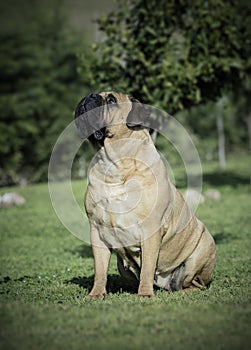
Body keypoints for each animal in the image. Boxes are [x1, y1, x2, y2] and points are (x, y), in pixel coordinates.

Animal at [74, 92, 216, 298]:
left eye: (111, 100)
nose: (89, 96)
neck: (113, 165)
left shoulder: (151, 229)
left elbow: (148, 267)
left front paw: (145, 295)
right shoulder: (97, 230)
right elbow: (100, 270)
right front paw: (96, 294)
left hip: (202, 250)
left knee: (196, 283)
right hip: (122, 266)